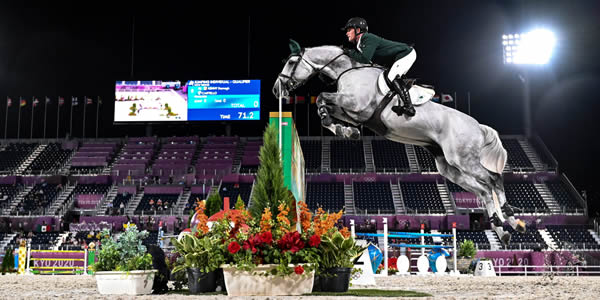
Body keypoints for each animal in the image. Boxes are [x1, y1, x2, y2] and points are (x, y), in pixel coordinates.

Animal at [274, 40, 528, 244]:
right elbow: (326, 107)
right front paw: (347, 131)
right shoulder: (353, 112)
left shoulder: (355, 104)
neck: (347, 71)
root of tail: (478, 126)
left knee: (493, 179)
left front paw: (339, 127)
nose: (277, 89)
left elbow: (322, 99)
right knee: (484, 190)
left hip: (463, 159)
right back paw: (503, 228)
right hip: (449, 168)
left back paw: (511, 219)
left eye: (291, 62)